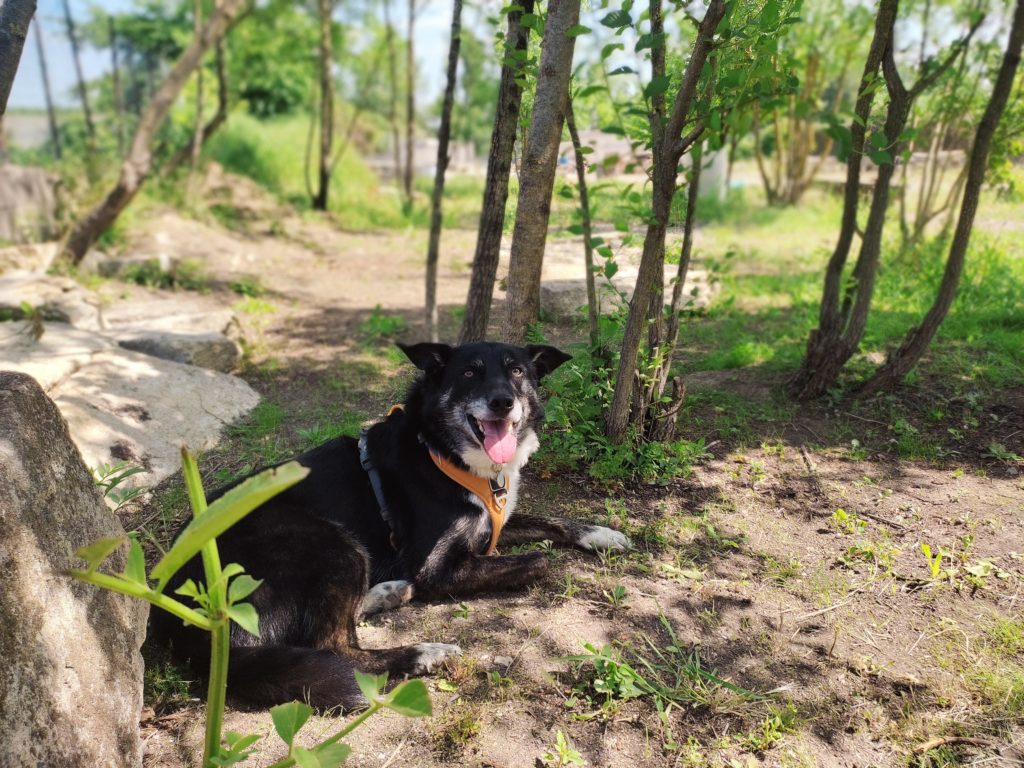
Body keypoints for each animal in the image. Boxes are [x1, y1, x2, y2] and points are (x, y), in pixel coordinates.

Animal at [149, 342, 630, 708]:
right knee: (333, 645)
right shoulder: (436, 569)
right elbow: (540, 563)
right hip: (330, 542)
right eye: (469, 373)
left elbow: (550, 522)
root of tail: (176, 610)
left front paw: (601, 533)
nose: (502, 402)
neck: (442, 450)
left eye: (517, 371)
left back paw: (386, 594)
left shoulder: (490, 525)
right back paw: (422, 652)